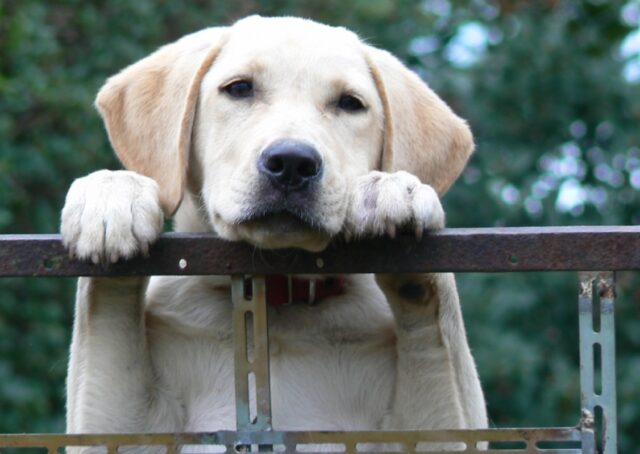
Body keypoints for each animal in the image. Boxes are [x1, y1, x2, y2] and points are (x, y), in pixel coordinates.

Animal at [61, 15, 484, 450]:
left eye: (350, 103)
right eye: (239, 88)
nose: (292, 163)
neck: (280, 298)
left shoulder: (434, 429)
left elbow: (437, 321)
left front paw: (393, 189)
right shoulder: (126, 428)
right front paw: (112, 195)